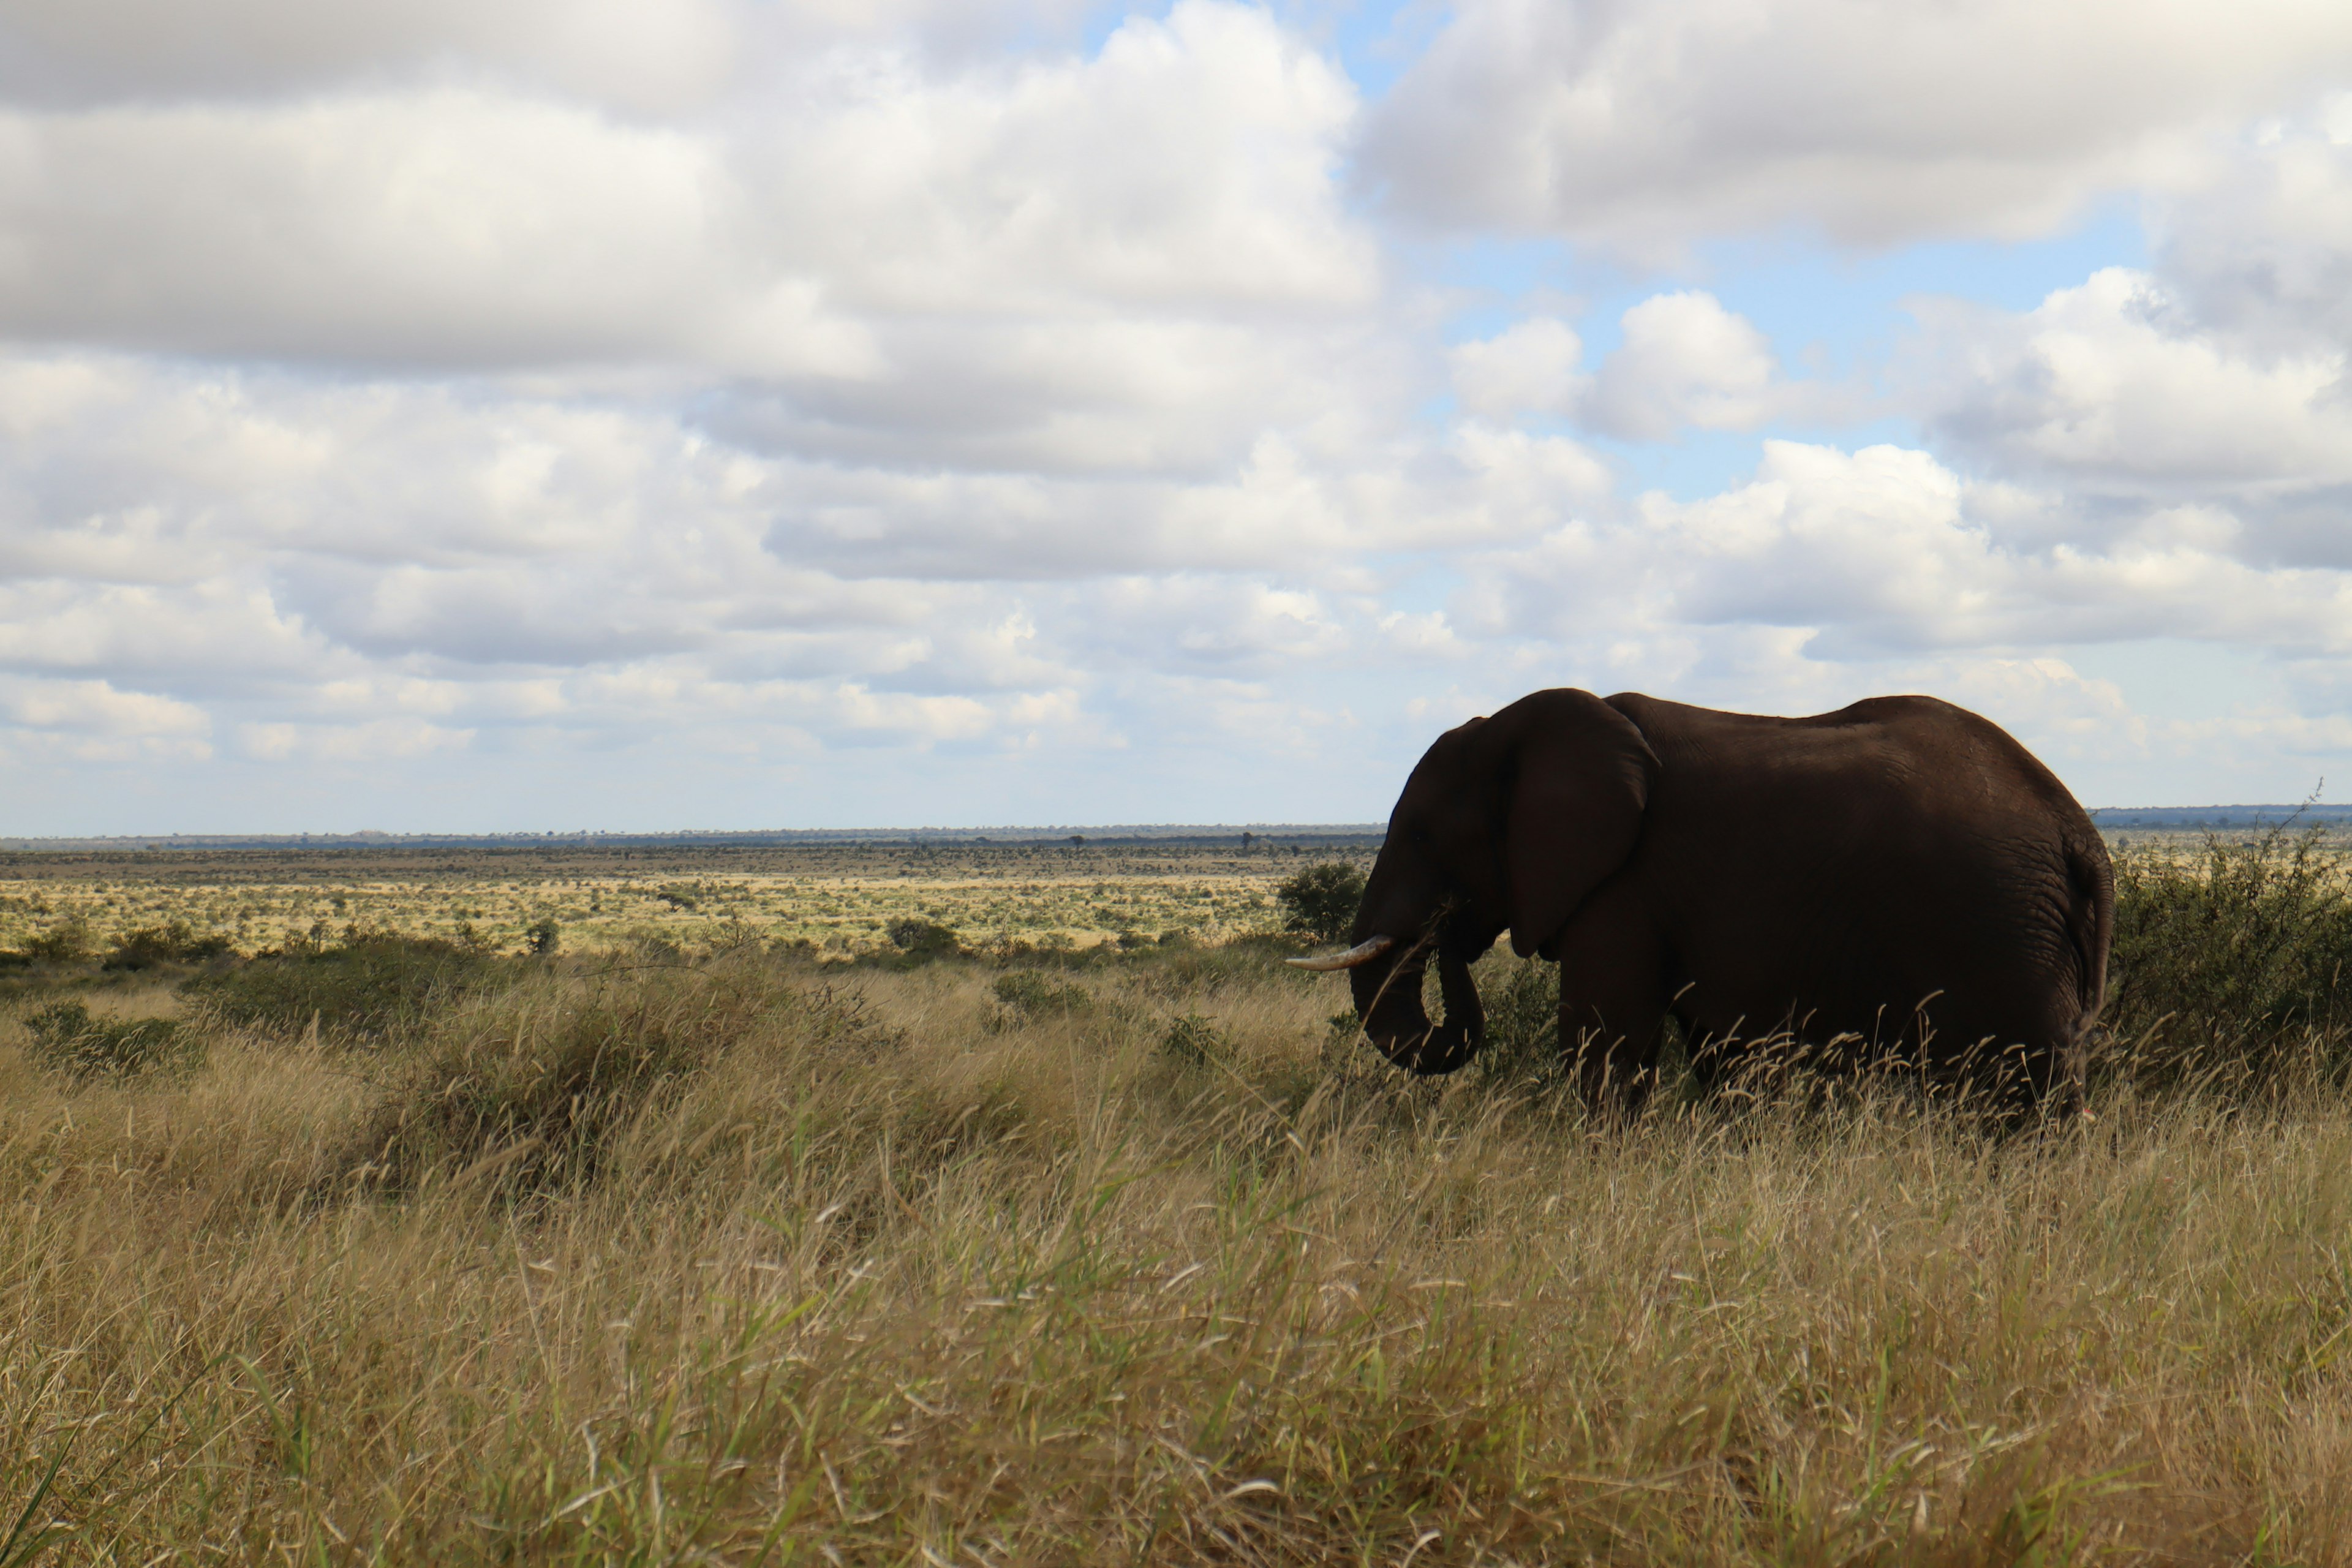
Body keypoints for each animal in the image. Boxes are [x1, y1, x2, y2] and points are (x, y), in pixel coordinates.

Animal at [1298, 686, 2126, 1114]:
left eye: (1423, 833)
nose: (1443, 930)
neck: (1515, 730)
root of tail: (2078, 833)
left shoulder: (1626, 886)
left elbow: (1605, 1044)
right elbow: (1720, 1053)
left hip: (2001, 928)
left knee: (2024, 1084)